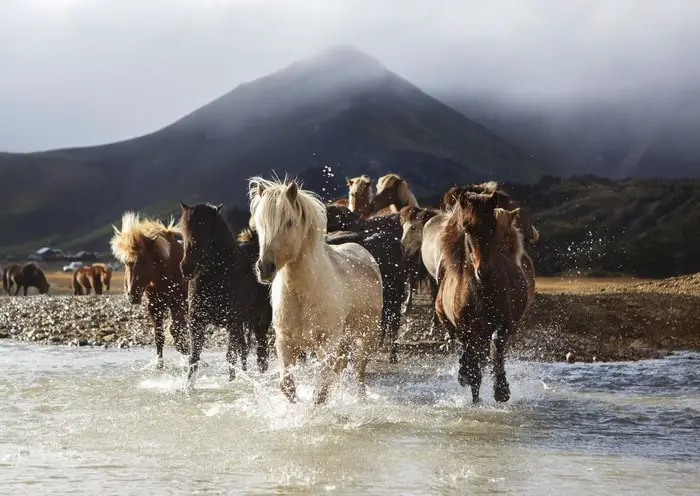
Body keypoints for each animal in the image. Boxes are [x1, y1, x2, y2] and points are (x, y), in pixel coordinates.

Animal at [110, 211, 190, 366]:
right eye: (125, 263)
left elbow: (177, 329)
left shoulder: (179, 301)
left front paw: (186, 351)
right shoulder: (155, 305)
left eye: (143, 260)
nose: (132, 296)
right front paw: (159, 365)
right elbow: (159, 335)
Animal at [179, 201, 272, 384]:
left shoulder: (233, 323)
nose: (187, 268)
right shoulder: (197, 321)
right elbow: (194, 358)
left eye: (205, 231)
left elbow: (230, 356)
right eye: (184, 231)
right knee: (245, 351)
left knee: (261, 354)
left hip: (261, 320)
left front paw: (232, 382)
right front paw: (188, 387)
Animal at [250, 176, 386, 404]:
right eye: (259, 225)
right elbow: (287, 385)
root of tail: (364, 253)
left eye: (289, 222)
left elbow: (321, 391)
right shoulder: (285, 342)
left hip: (366, 337)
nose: (265, 268)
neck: (304, 294)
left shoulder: (327, 344)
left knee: (359, 373)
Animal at [432, 191, 532, 404]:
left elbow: (497, 346)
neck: (483, 292)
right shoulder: (466, 330)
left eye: (492, 225)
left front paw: (501, 390)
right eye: (467, 227)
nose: (484, 272)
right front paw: (474, 393)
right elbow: (473, 366)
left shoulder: (505, 323)